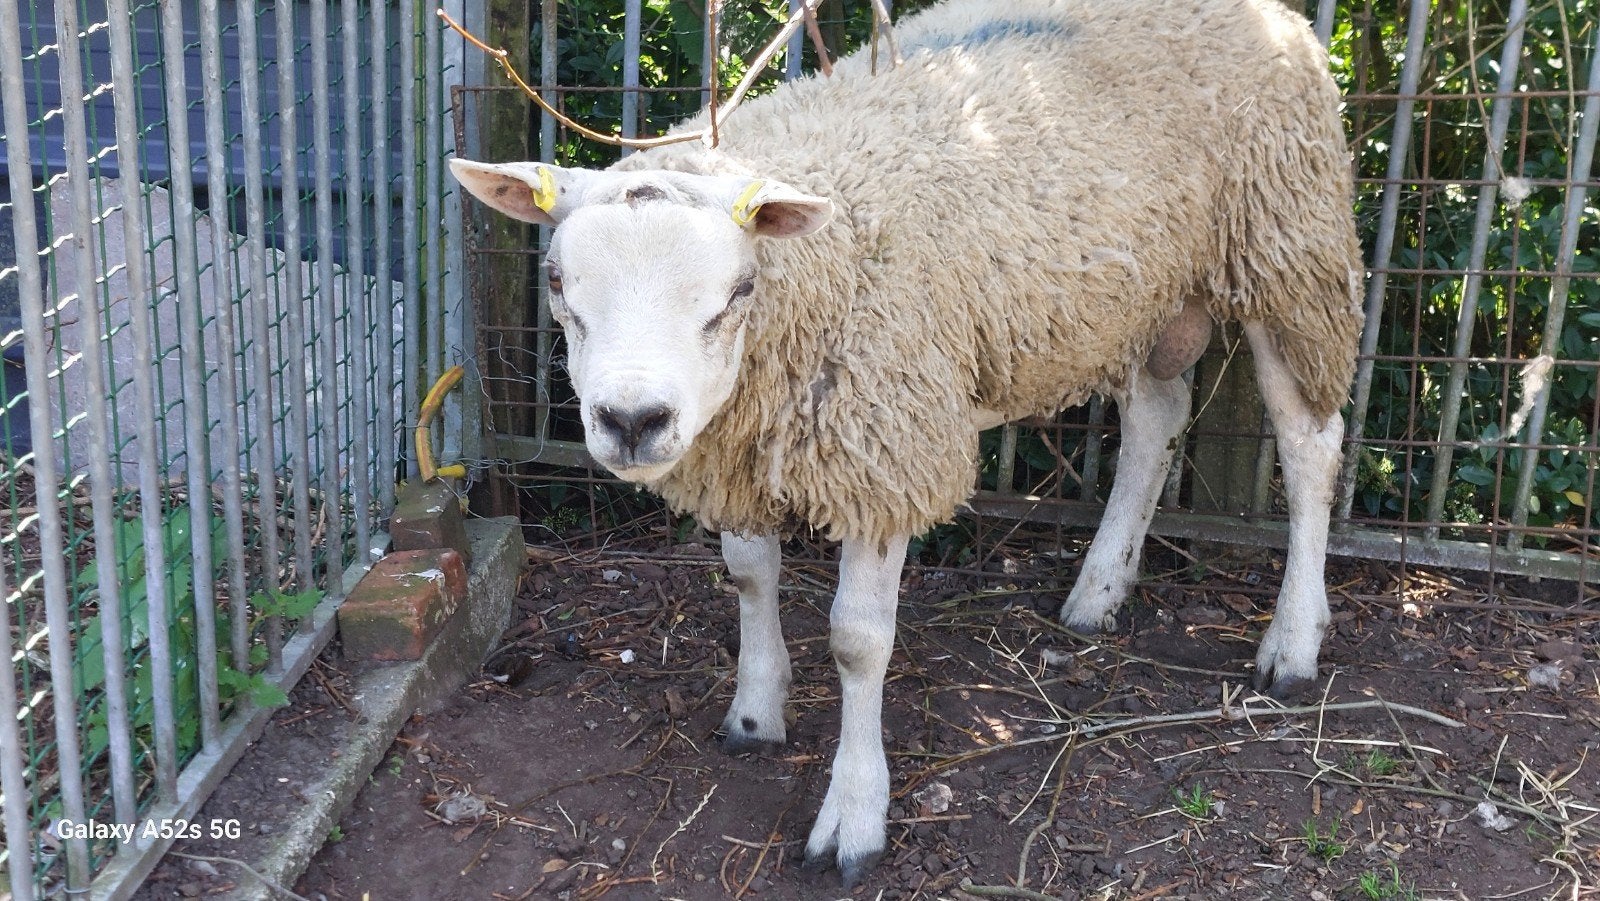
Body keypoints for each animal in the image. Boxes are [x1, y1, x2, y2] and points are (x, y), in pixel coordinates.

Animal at [450, 0, 1362, 886]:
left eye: (738, 292)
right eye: (557, 282)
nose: (632, 420)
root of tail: (1279, 19)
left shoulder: (885, 439)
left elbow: (859, 643)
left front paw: (854, 816)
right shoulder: (744, 439)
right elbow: (748, 575)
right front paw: (755, 709)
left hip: (1290, 246)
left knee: (1310, 444)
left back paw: (1291, 641)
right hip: (1136, 289)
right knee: (1156, 417)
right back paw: (1098, 591)